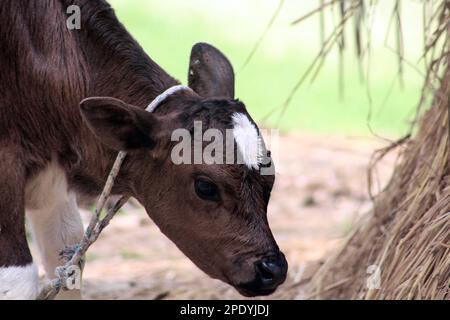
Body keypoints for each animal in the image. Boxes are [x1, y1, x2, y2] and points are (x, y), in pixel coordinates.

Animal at [0, 0, 286, 300]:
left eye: (270, 179)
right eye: (205, 187)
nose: (272, 269)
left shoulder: (51, 177)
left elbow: (68, 261)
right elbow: (17, 279)